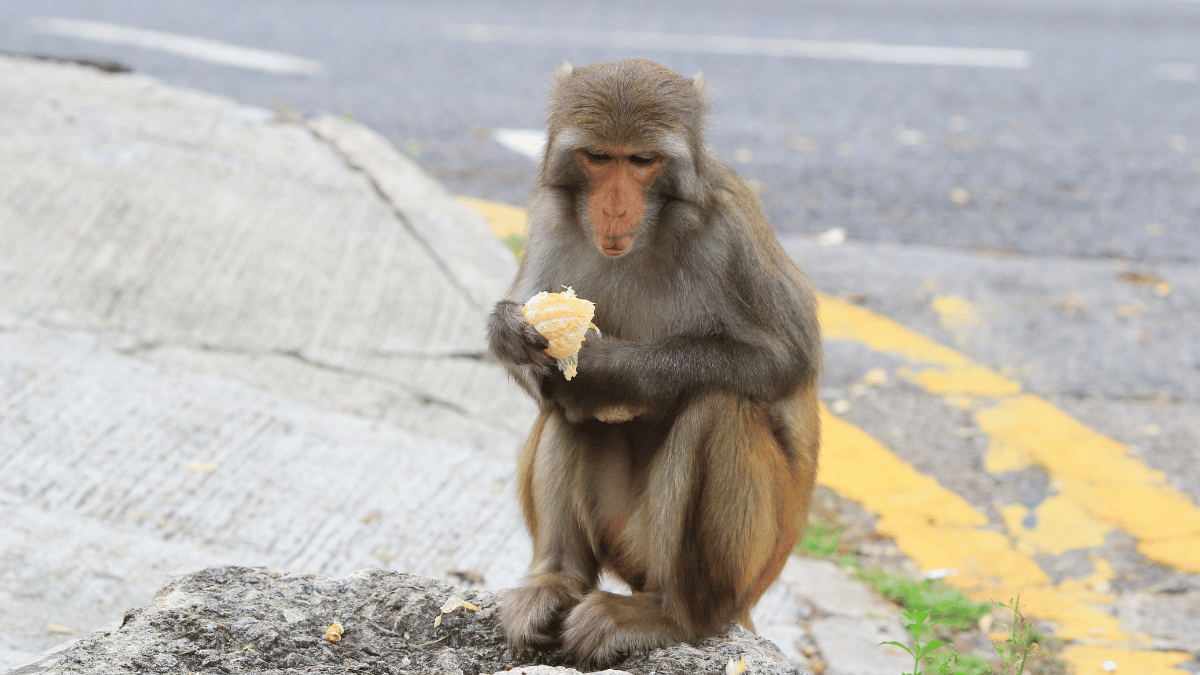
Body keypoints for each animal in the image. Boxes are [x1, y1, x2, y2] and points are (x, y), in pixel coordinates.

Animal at [487, 58, 821, 669]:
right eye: (600, 157)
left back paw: (669, 614)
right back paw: (556, 580)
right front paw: (508, 331)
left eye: (642, 162)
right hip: (619, 535)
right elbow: (543, 361)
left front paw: (606, 365)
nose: (616, 207)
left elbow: (782, 360)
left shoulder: (731, 227)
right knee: (565, 408)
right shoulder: (547, 218)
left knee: (716, 404)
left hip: (735, 569)